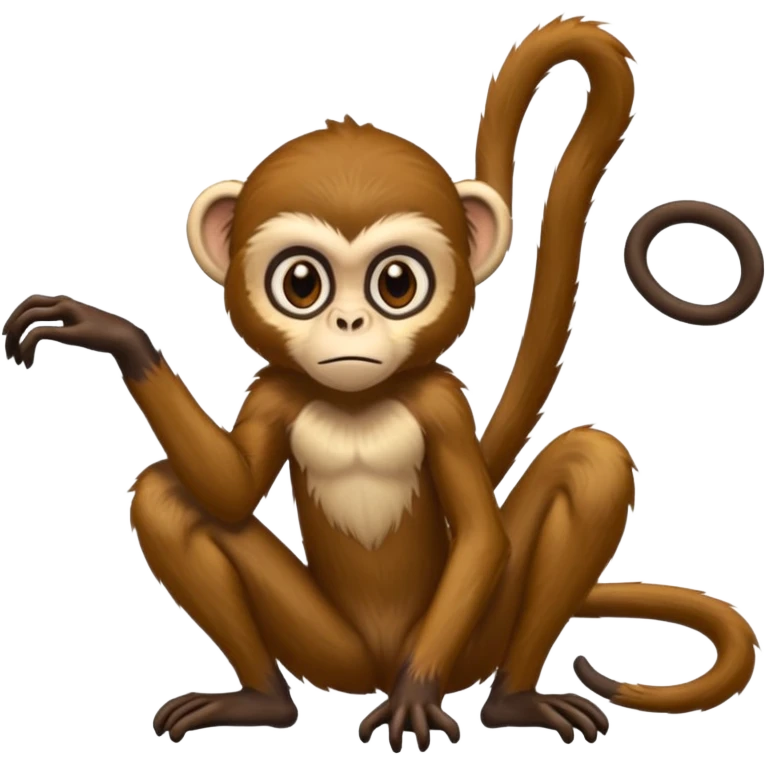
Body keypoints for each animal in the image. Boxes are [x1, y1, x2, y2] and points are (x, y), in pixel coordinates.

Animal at [2, 15, 762, 751]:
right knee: (166, 497)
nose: (348, 321)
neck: (358, 401)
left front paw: (418, 697)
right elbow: (228, 492)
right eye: (301, 283)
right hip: (323, 645)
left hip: (467, 640)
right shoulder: (275, 391)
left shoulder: (441, 400)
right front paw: (113, 334)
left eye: (396, 282)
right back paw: (264, 700)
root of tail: (372, 667)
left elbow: (482, 537)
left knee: (592, 462)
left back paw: (509, 700)